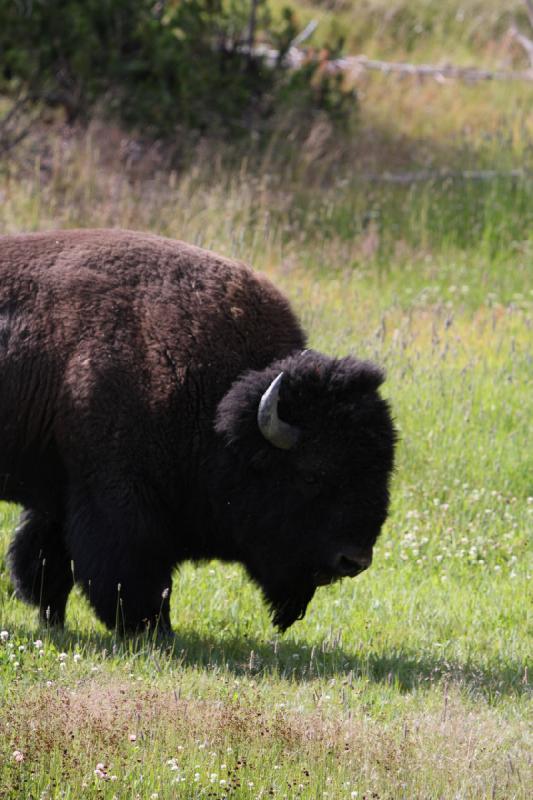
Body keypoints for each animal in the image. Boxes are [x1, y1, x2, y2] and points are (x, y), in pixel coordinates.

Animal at [1, 230, 394, 632]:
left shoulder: (63, 493)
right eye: (313, 474)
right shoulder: (116, 500)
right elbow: (128, 572)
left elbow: (46, 561)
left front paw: (54, 622)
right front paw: (154, 631)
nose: (354, 560)